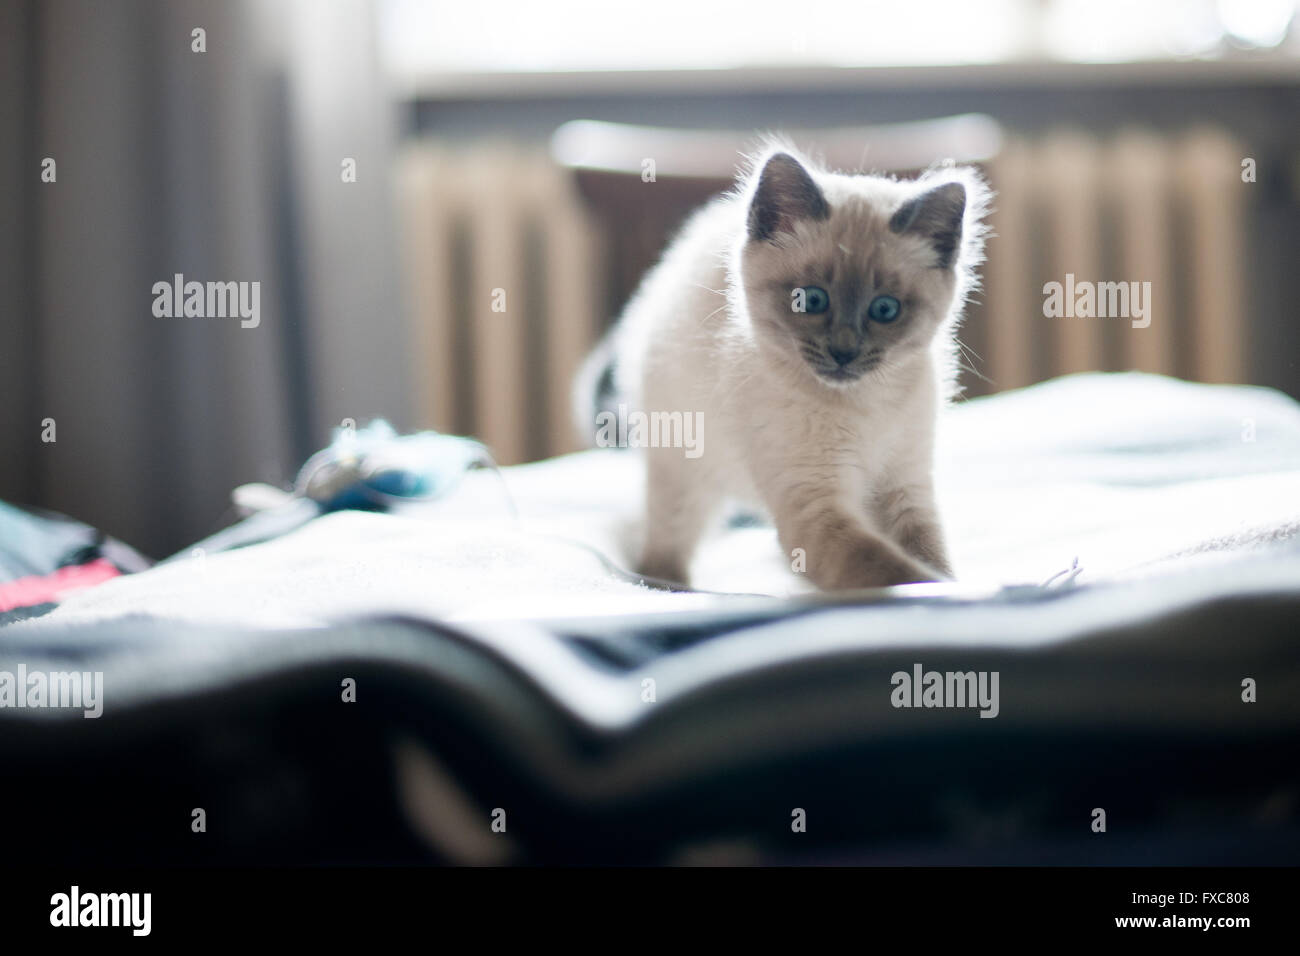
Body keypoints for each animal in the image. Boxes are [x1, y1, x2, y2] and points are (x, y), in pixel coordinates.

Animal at [574, 143, 987, 590]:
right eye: (811, 300)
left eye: (885, 310)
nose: (844, 352)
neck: (865, 405)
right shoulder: (814, 504)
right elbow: (892, 569)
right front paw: (953, 594)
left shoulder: (903, 486)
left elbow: (928, 553)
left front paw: (952, 583)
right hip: (683, 467)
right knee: (666, 538)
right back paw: (667, 584)